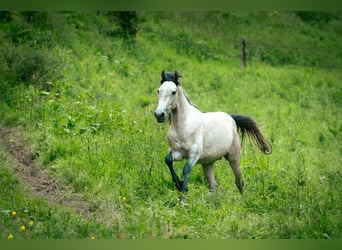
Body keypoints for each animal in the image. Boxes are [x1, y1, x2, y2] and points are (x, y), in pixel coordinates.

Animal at [154, 71, 272, 201]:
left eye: (173, 92)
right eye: (159, 90)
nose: (159, 115)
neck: (183, 125)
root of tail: (231, 118)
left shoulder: (193, 154)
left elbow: (186, 169)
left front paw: (183, 196)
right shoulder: (177, 152)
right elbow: (168, 160)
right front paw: (178, 184)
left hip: (234, 157)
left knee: (239, 180)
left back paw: (242, 199)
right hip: (208, 163)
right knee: (213, 185)